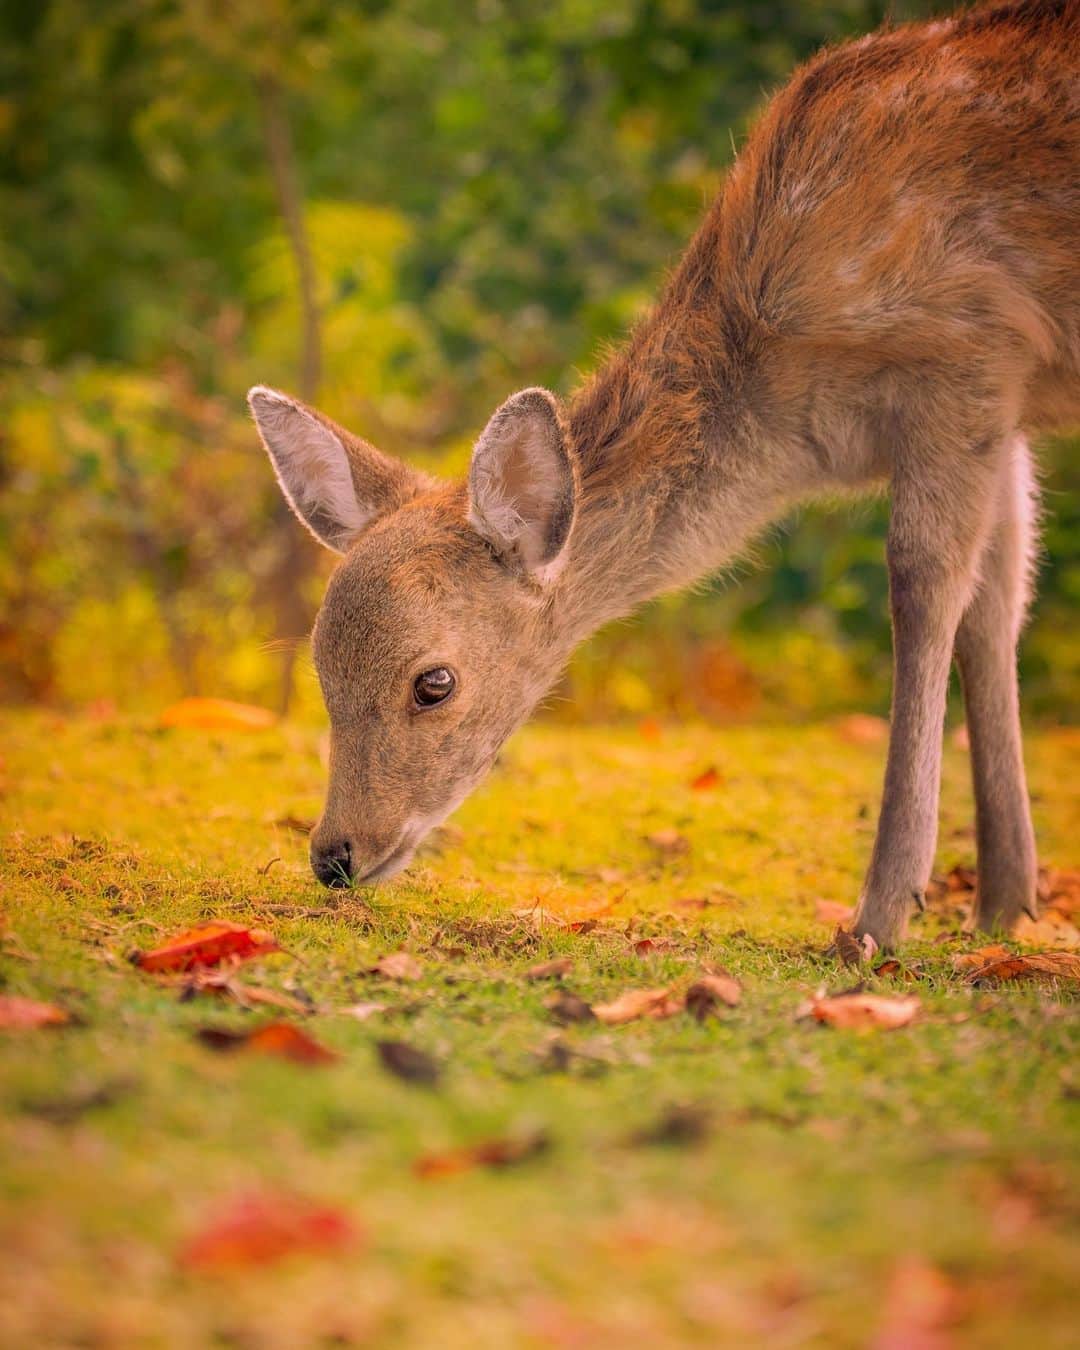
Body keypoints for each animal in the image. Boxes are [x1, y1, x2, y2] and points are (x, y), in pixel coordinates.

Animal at [249, 0, 1080, 949]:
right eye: (319, 668)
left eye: (435, 683)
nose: (334, 856)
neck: (801, 417)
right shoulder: (1005, 409)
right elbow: (997, 605)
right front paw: (1005, 905)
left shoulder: (969, 355)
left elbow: (926, 590)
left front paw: (880, 916)